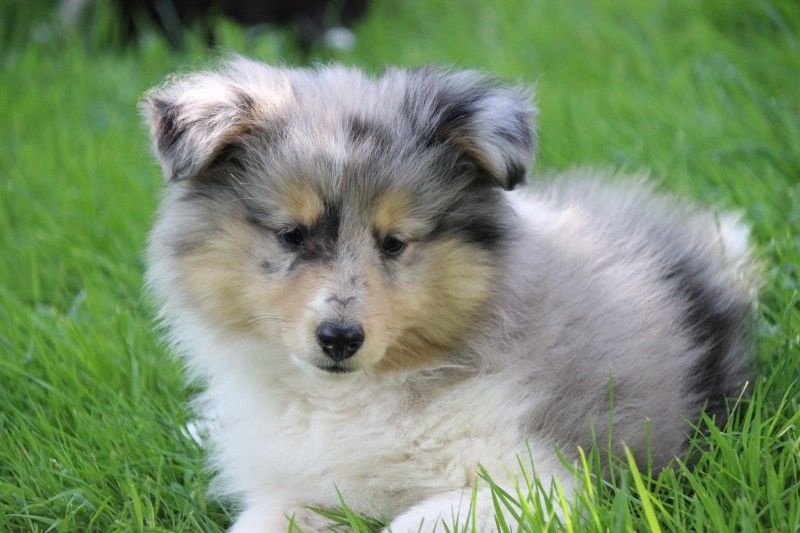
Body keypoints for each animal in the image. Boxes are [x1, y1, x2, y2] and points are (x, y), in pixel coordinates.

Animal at [141, 58, 756, 531]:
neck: (353, 395)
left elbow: (410, 522)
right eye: (291, 234)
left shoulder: (530, 479)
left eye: (395, 242)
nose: (340, 339)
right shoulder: (294, 484)